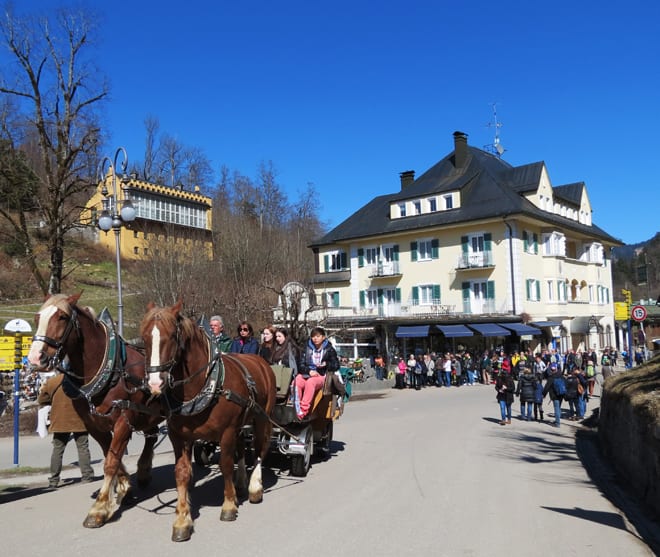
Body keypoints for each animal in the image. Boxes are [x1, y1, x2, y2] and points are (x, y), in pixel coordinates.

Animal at [28, 294, 164, 528]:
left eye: (62, 317)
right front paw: (124, 488)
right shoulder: (94, 425)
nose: (36, 358)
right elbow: (112, 456)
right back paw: (144, 471)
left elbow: (110, 462)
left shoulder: (124, 420)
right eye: (38, 317)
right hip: (149, 412)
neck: (109, 369)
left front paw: (99, 509)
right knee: (151, 436)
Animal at [142, 300, 276, 540]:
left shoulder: (227, 431)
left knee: (260, 448)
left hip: (262, 417)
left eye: (171, 336)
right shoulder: (179, 436)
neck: (204, 386)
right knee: (242, 448)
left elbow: (225, 464)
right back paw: (241, 482)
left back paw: (254, 486)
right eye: (144, 338)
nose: (155, 383)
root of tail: (260, 361)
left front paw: (229, 505)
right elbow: (182, 472)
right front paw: (182, 520)